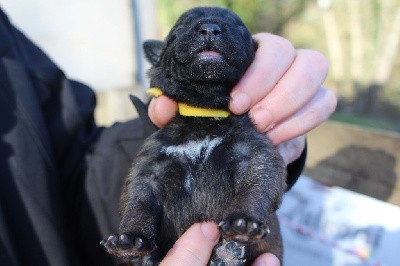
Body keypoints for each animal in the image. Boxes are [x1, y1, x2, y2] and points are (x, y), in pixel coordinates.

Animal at [101, 6, 286, 266]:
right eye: (178, 29)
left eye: (239, 27)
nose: (209, 28)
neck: (203, 115)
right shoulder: (148, 170)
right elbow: (138, 204)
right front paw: (130, 238)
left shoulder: (257, 155)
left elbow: (255, 186)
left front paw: (244, 222)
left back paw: (229, 252)